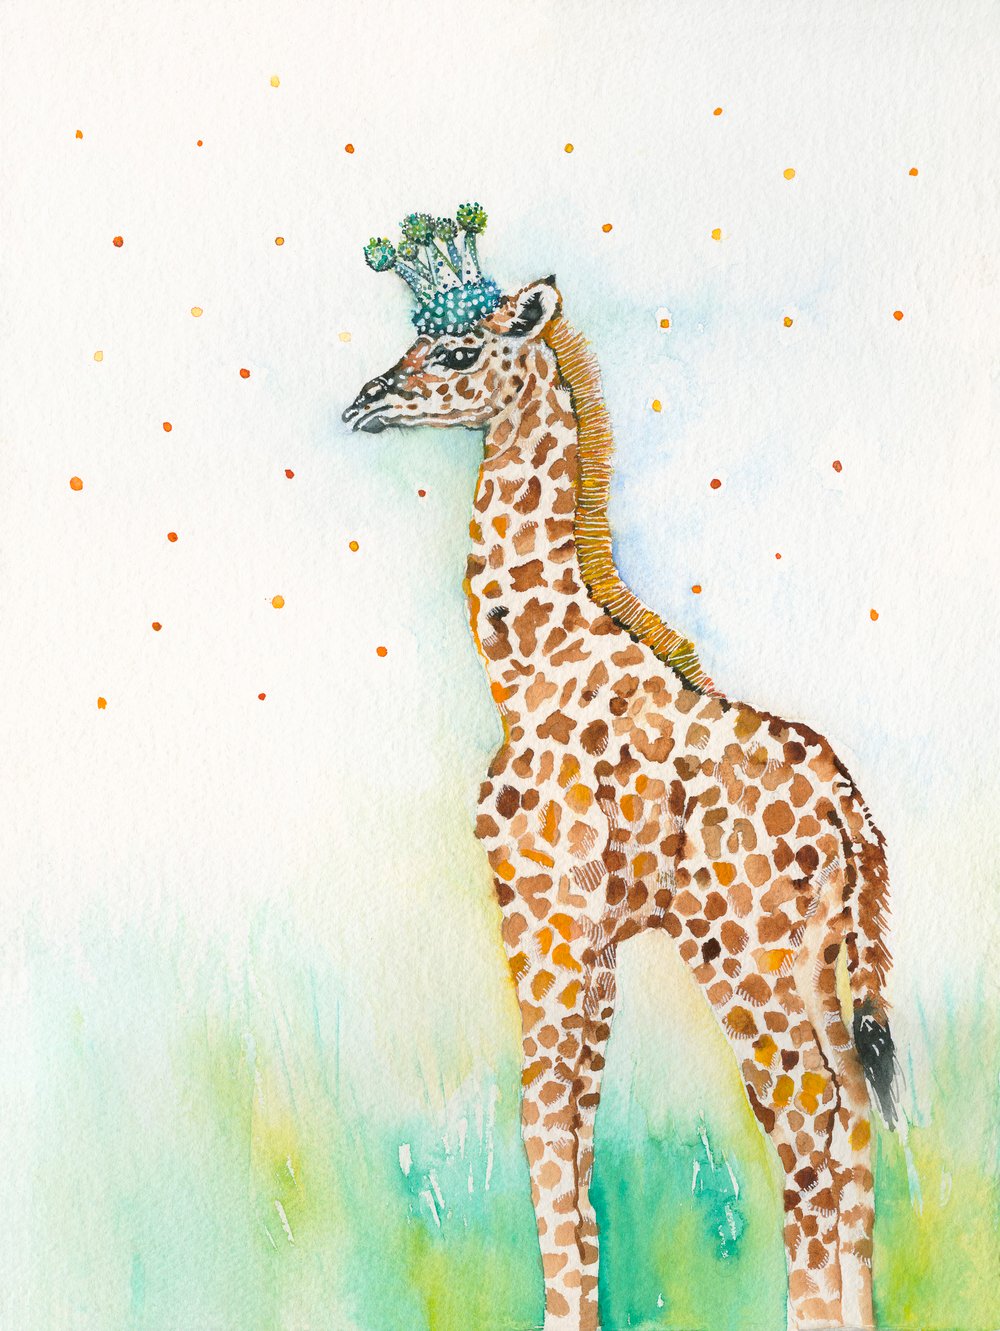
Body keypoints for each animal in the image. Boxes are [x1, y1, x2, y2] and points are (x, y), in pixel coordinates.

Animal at [344, 220, 897, 1331]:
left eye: (457, 352)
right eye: (410, 345)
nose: (363, 403)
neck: (526, 666)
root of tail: (849, 812)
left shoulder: (542, 914)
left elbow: (541, 1119)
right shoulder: (591, 937)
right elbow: (572, 1124)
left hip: (745, 951)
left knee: (807, 1114)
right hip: (818, 958)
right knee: (851, 1116)